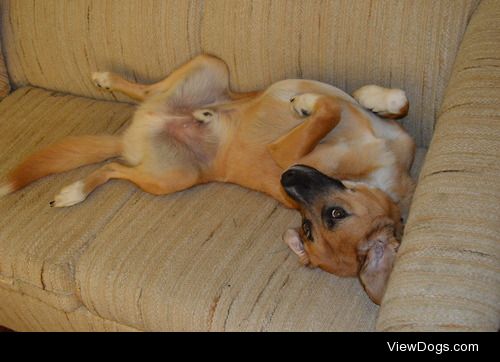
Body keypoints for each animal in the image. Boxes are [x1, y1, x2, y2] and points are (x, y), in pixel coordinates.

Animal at [0, 53, 414, 302]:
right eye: (332, 216)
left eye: (311, 227)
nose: (286, 179)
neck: (379, 172)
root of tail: (139, 128)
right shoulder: (295, 149)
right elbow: (373, 103)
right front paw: (360, 98)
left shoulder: (290, 155)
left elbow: (342, 108)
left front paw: (330, 102)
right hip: (211, 66)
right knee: (145, 92)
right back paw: (119, 84)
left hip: (171, 176)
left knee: (113, 167)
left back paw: (75, 190)